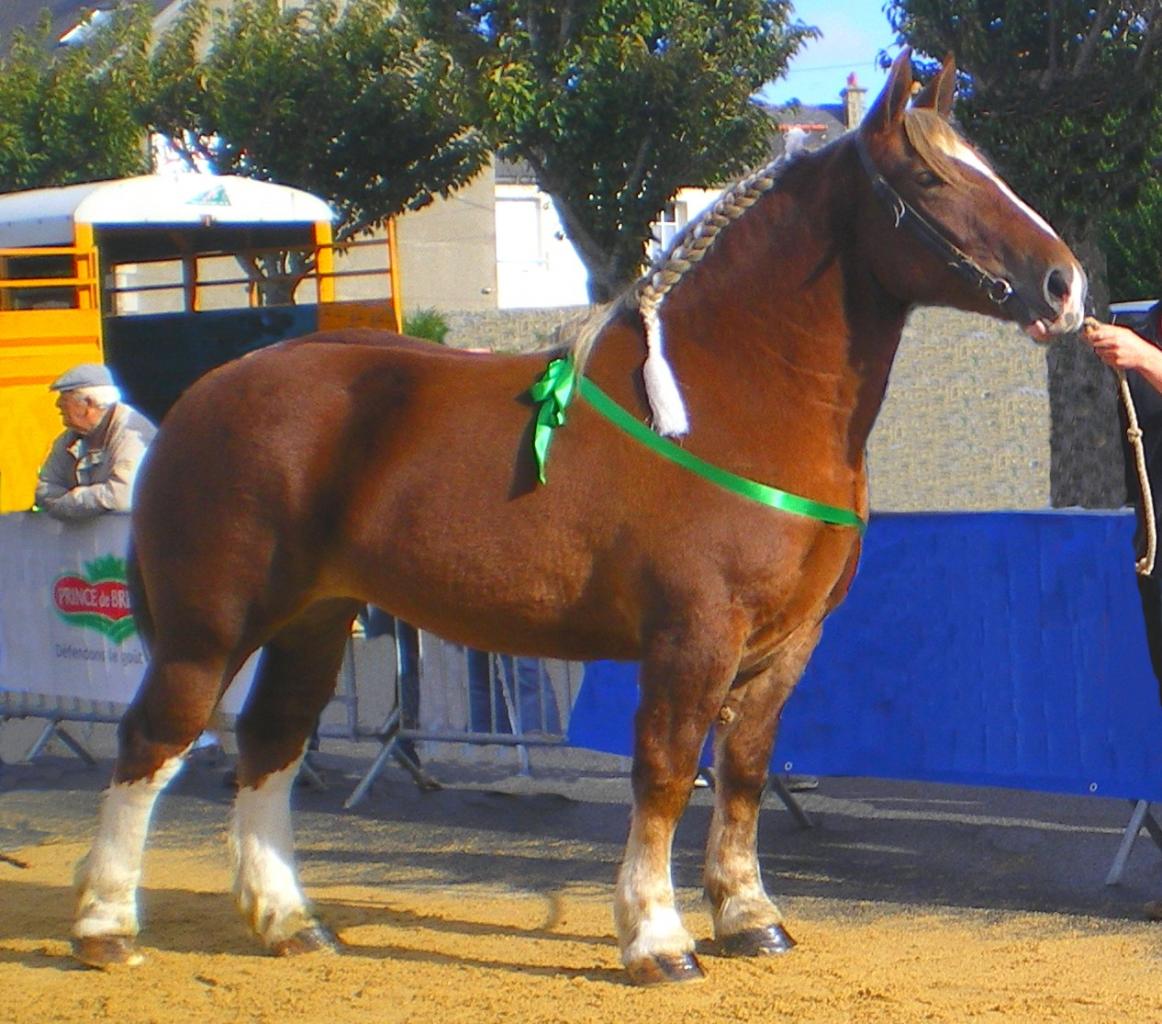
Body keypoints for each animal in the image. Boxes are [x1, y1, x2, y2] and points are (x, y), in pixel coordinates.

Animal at [72, 51, 1086, 984]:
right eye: (931, 178)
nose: (1063, 286)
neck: (734, 398)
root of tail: (200, 398)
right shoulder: (693, 636)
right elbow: (668, 774)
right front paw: (658, 937)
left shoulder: (786, 645)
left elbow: (745, 771)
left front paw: (749, 917)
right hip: (213, 628)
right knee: (154, 741)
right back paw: (106, 926)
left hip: (315, 621)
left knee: (271, 743)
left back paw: (286, 920)